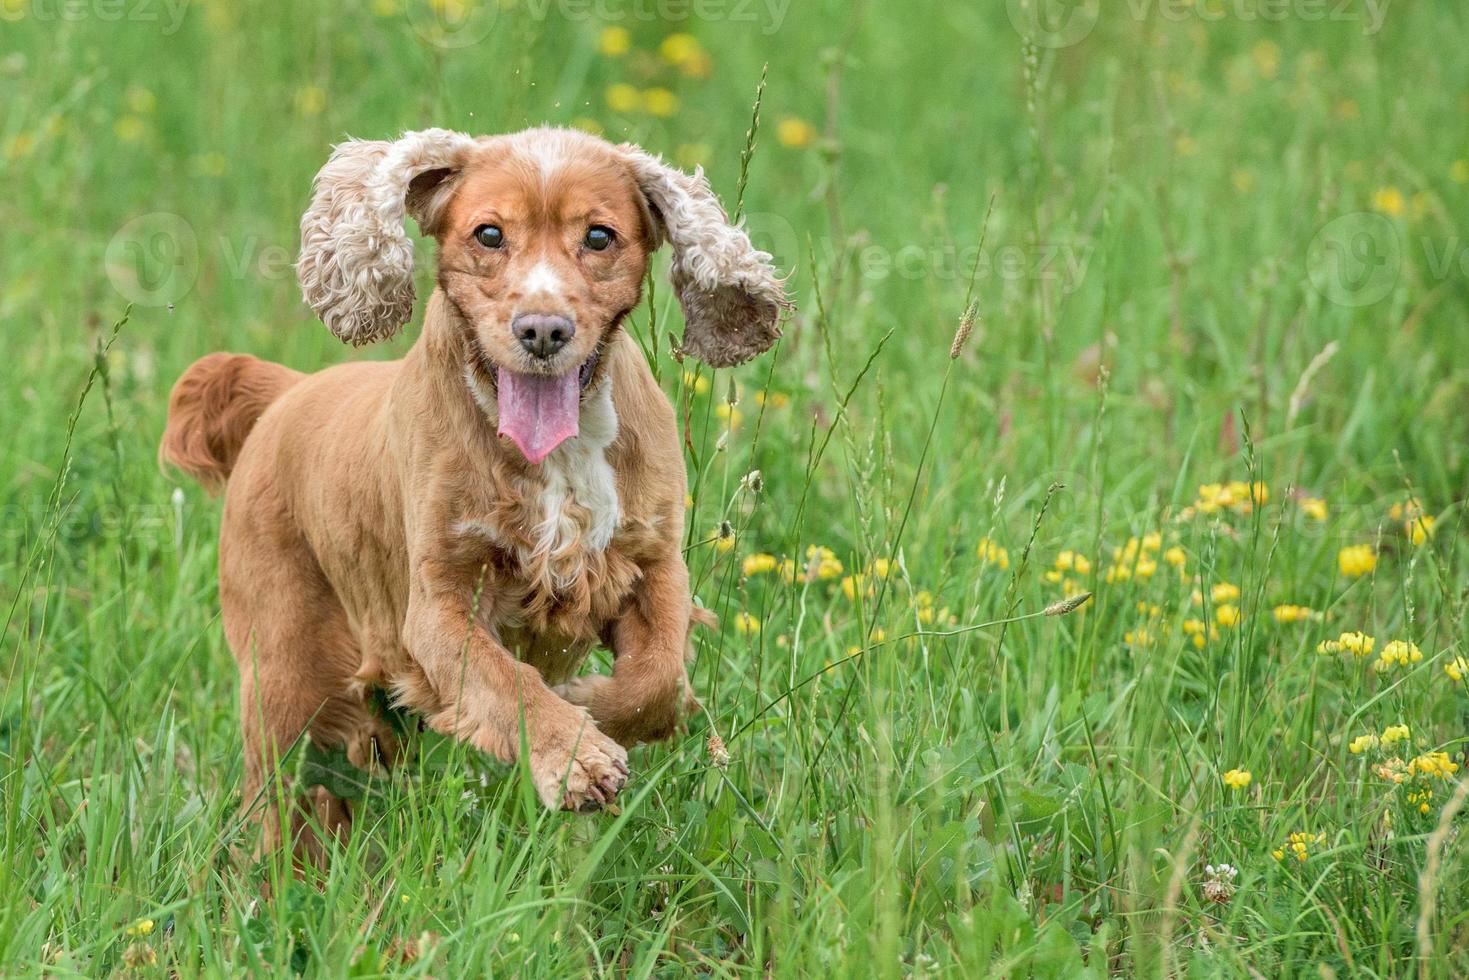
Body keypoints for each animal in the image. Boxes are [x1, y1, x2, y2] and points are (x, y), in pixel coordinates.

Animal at [157, 128, 793, 852]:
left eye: (599, 236)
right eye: (488, 233)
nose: (542, 329)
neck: (556, 455)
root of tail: (287, 390)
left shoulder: (653, 562)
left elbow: (656, 677)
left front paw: (588, 704)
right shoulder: (436, 606)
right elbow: (507, 681)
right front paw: (575, 758)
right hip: (286, 670)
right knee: (277, 796)